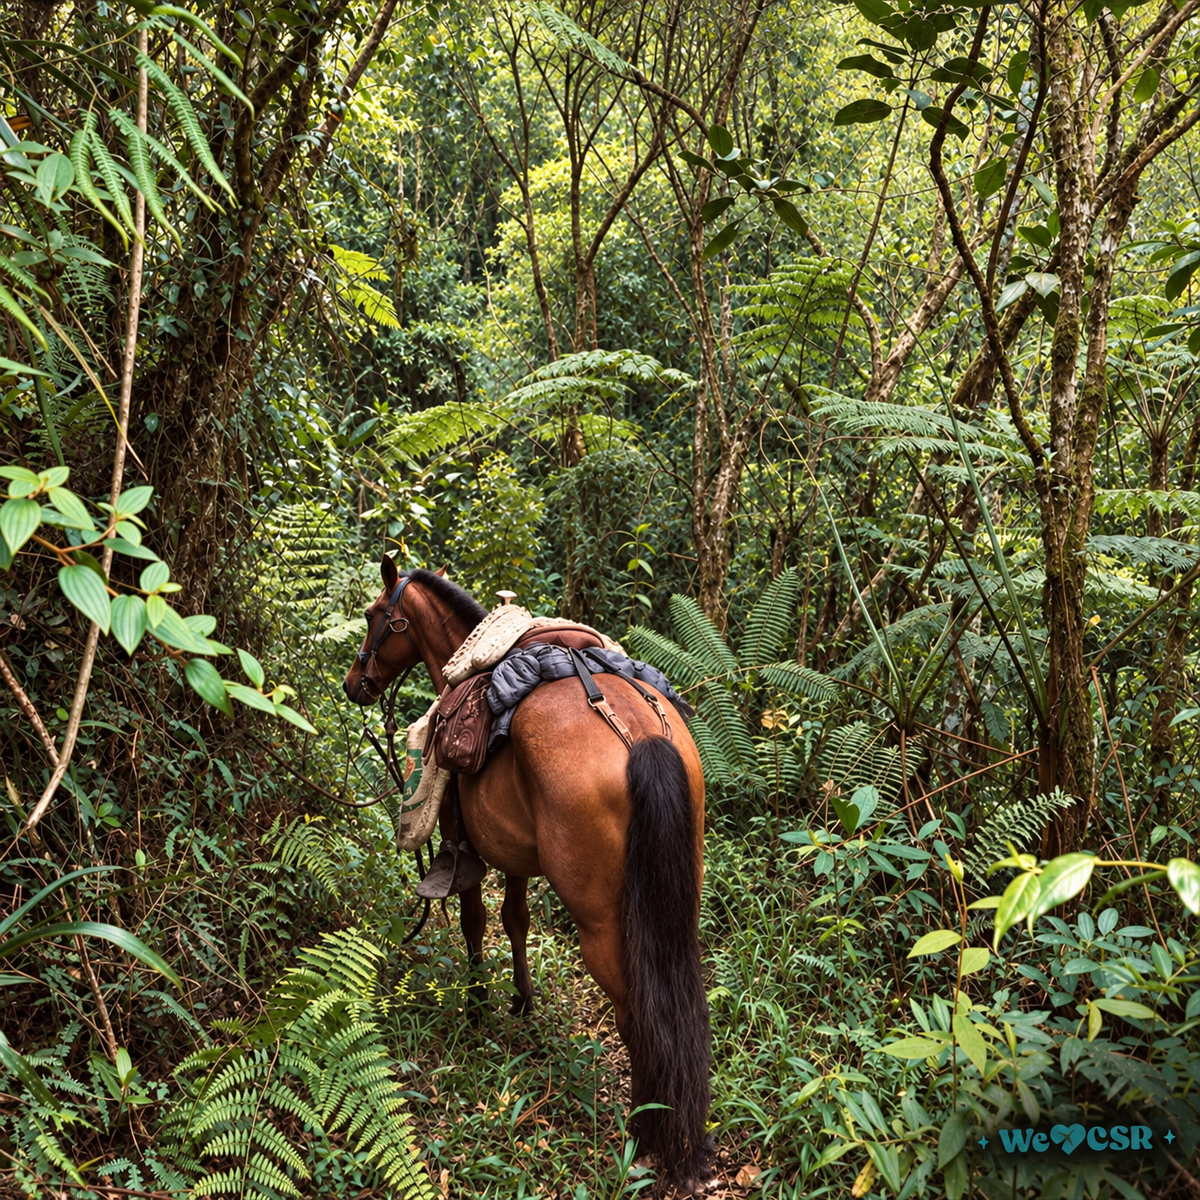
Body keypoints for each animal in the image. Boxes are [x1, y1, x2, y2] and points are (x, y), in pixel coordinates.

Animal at [342, 557, 711, 1189]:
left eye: (374, 616)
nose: (352, 683)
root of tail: (638, 737)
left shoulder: (464, 841)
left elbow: (475, 920)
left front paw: (478, 1006)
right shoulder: (516, 850)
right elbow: (515, 920)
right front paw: (522, 1001)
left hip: (600, 920)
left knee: (634, 1008)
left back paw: (645, 1134)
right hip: (673, 896)